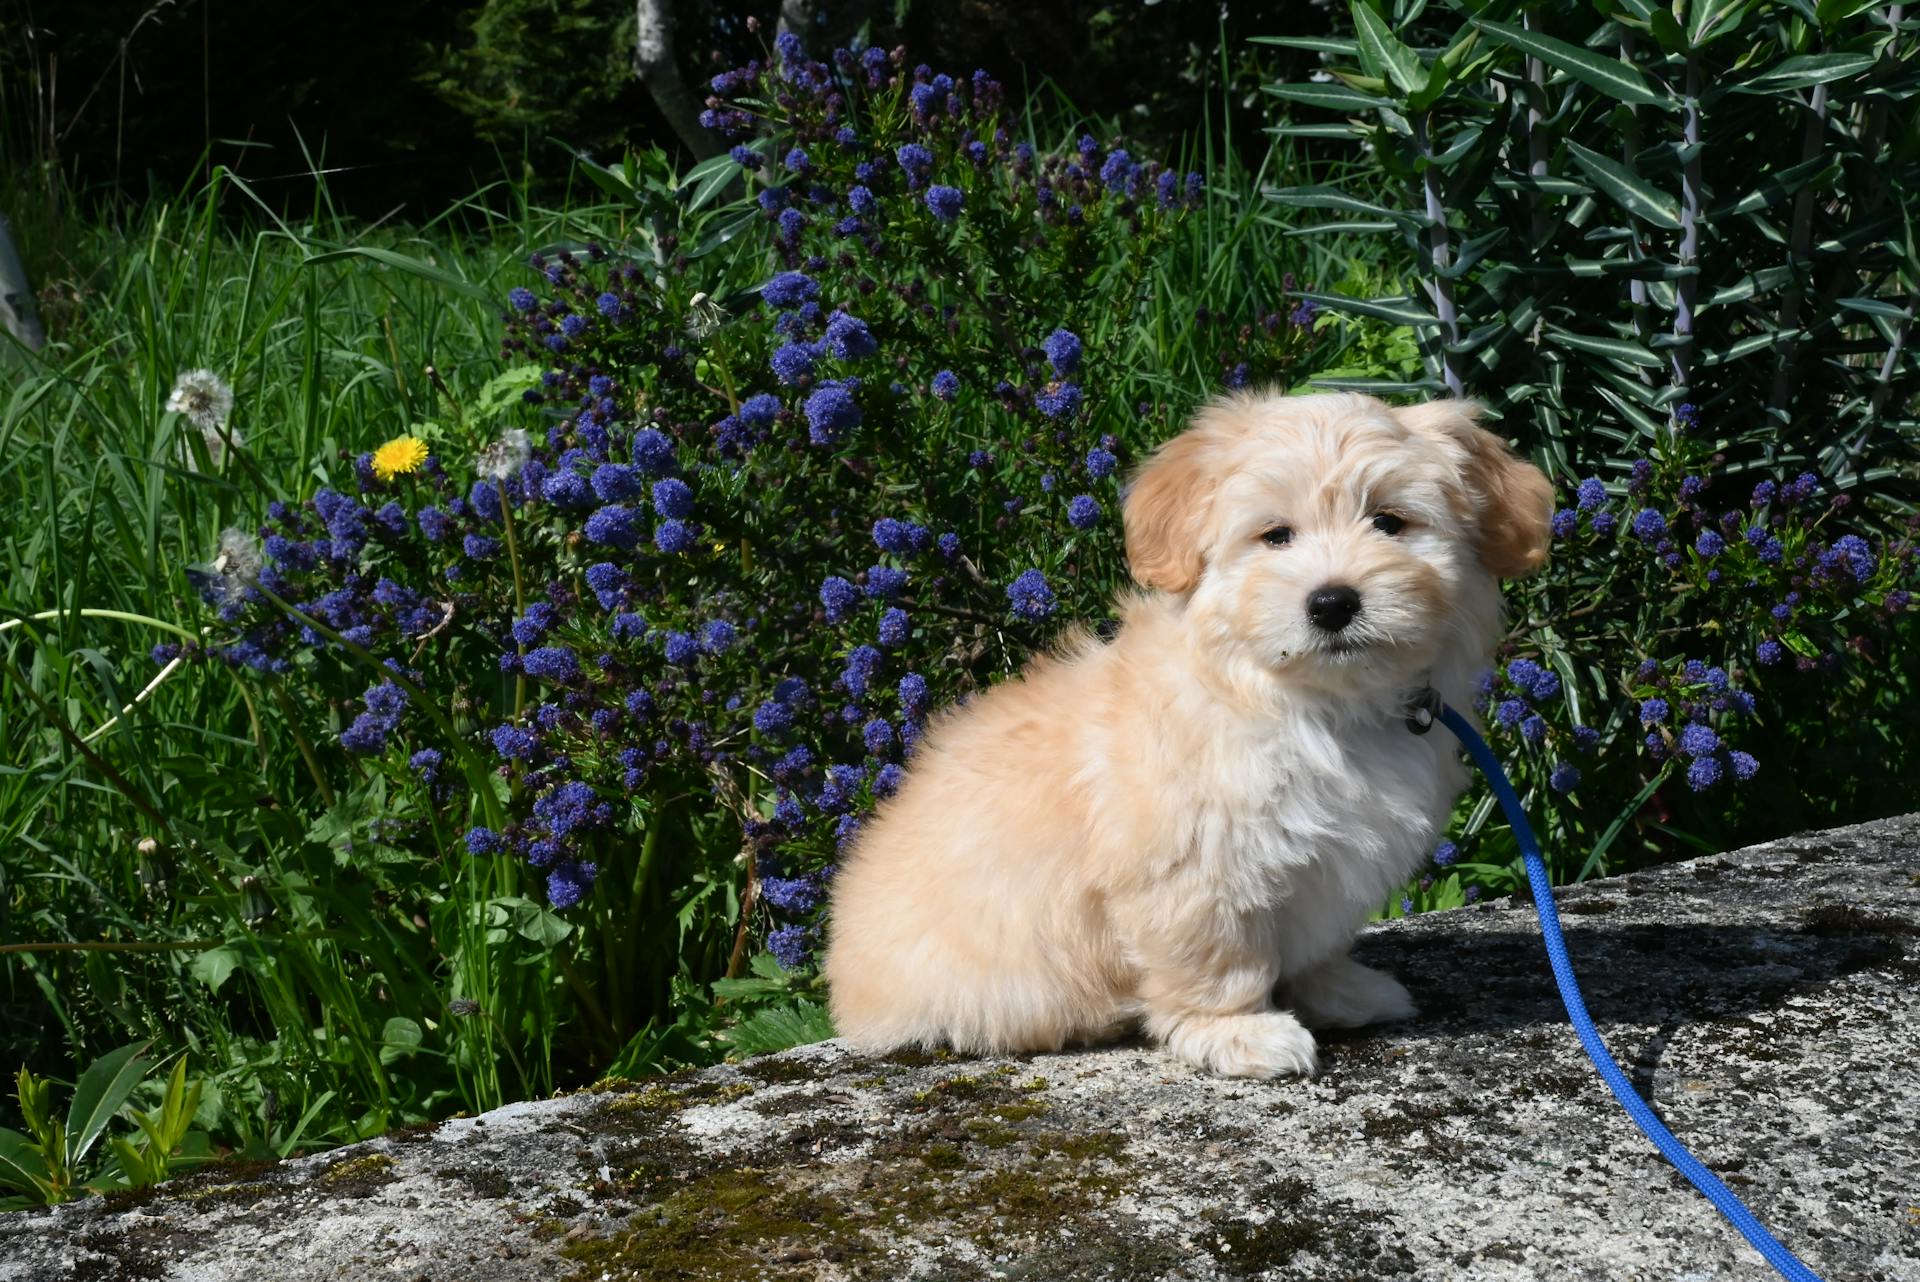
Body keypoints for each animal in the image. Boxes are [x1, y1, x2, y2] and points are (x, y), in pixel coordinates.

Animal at [825, 393, 1559, 1082]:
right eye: (1275, 536)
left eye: (1389, 521)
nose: (1332, 602)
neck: (1311, 704)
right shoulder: (1193, 870)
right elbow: (1216, 959)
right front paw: (1240, 1033)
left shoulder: (1328, 867)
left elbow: (1317, 942)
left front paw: (1340, 990)